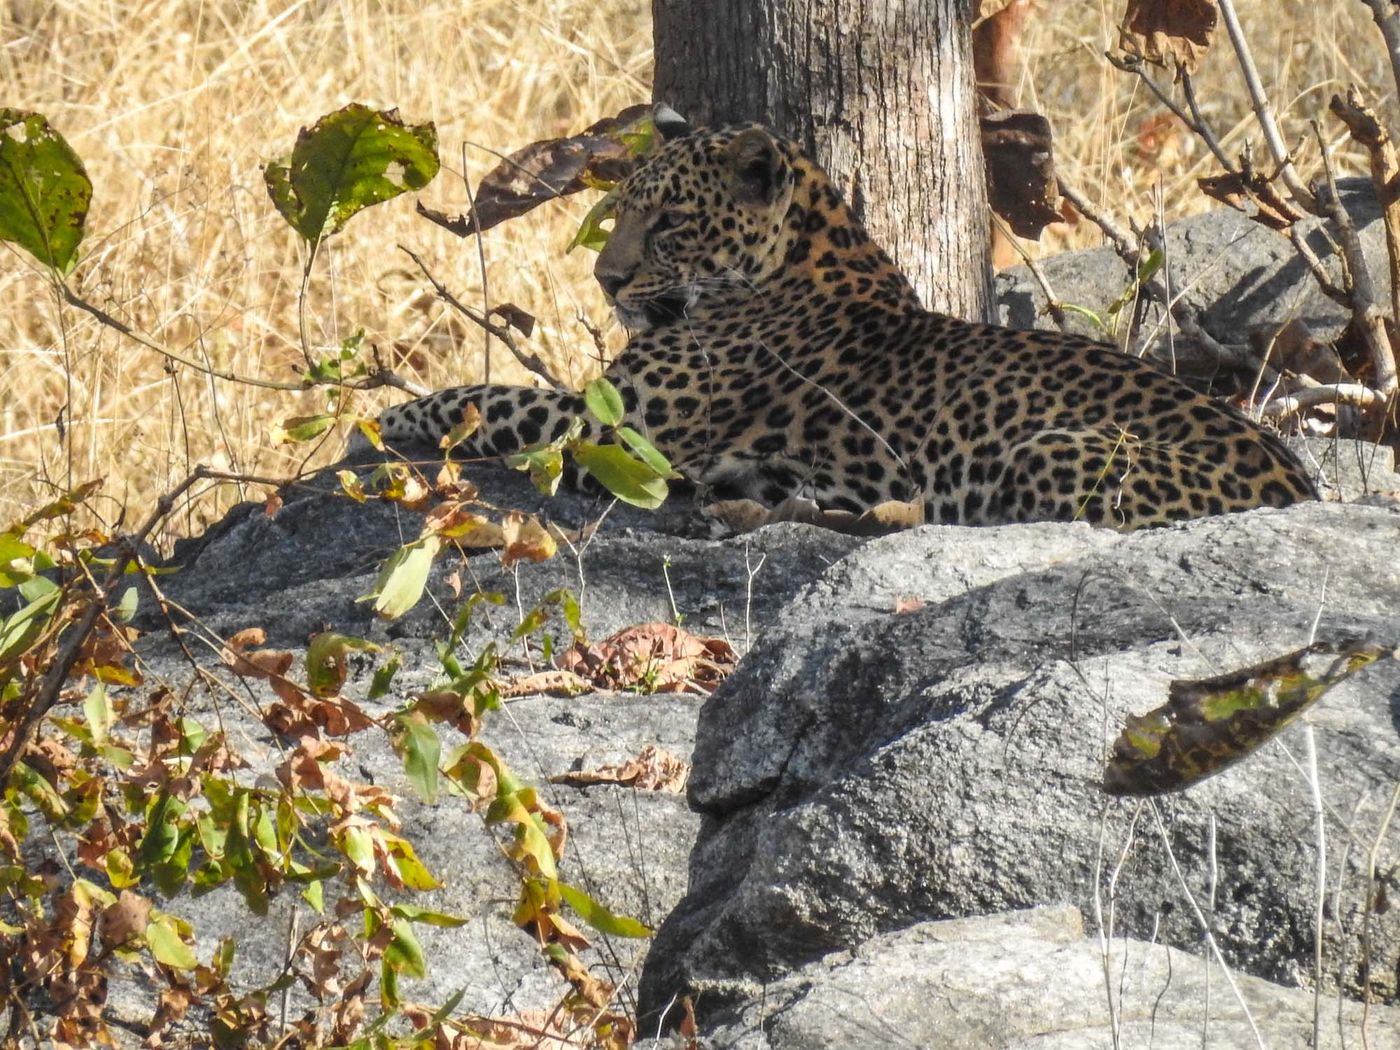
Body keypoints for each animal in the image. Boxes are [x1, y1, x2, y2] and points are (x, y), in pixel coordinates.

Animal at [378, 111, 1316, 529]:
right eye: (621, 210)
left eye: (670, 222)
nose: (607, 281)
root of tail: (1302, 484)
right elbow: (499, 393)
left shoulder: (619, 428)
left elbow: (496, 397)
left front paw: (401, 413)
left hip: (1049, 453)